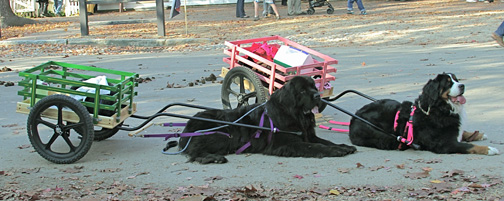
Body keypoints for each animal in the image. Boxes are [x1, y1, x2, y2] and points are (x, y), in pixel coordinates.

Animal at [179, 76, 356, 164]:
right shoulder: (288, 143)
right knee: (194, 151)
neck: (294, 115)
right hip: (220, 135)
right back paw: (213, 158)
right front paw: (336, 151)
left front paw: (343, 146)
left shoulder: (308, 134)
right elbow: (315, 146)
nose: (318, 96)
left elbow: (324, 141)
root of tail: (187, 126)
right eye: (303, 91)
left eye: (314, 87)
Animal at [348, 72, 498, 155]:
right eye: (448, 83)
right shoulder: (445, 144)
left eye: (456, 79)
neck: (439, 108)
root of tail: (354, 117)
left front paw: (478, 134)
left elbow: (464, 132)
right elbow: (469, 146)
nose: (462, 85)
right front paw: (489, 149)